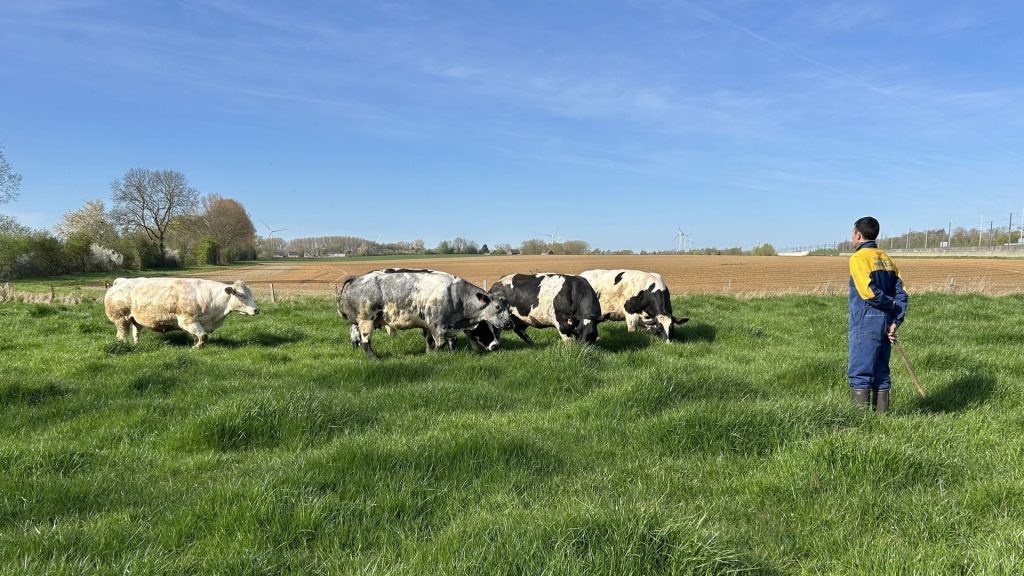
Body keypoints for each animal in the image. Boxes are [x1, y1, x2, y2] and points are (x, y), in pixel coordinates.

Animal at [104, 277, 260, 348]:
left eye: (251, 294)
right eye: (241, 295)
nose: (256, 309)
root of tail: (120, 281)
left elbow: (200, 335)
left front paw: (195, 344)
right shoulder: (187, 321)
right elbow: (203, 336)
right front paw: (195, 348)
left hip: (135, 319)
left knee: (136, 333)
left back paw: (136, 345)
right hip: (121, 319)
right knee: (121, 336)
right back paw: (124, 346)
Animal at [335, 268, 511, 359]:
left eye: (496, 331)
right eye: (497, 307)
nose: (510, 323)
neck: (456, 295)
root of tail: (356, 278)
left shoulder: (437, 326)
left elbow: (438, 341)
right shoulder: (437, 325)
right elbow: (439, 344)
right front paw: (433, 356)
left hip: (358, 322)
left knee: (355, 337)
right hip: (366, 320)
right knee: (365, 342)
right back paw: (376, 359)